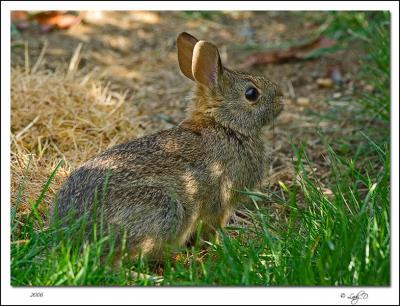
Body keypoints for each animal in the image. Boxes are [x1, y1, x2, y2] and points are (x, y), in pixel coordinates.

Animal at [54, 31, 284, 260]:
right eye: (251, 94)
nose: (281, 99)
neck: (224, 124)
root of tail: (77, 230)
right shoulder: (221, 200)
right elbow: (212, 228)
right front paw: (218, 247)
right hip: (165, 209)